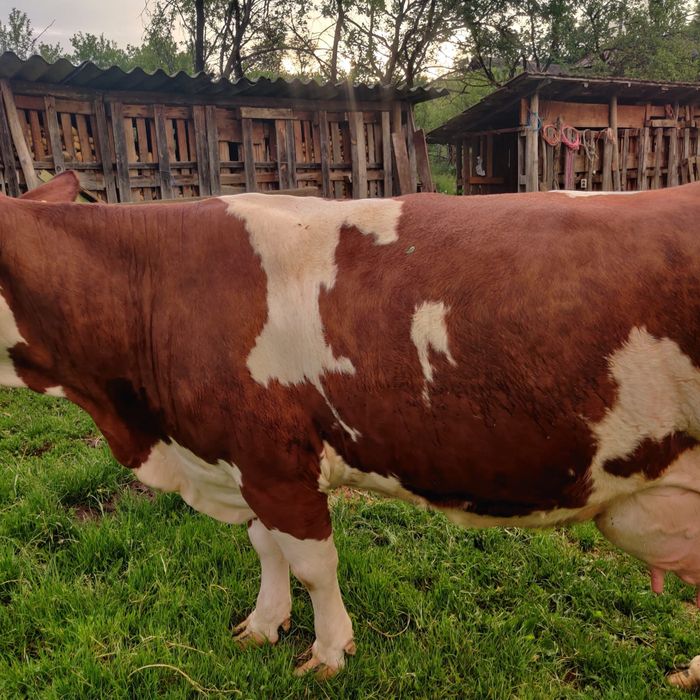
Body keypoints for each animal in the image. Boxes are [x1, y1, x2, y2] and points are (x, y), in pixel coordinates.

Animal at [2, 171, 700, 690]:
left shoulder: (276, 460)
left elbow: (313, 563)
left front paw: (329, 651)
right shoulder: (244, 457)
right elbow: (265, 548)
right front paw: (264, 625)